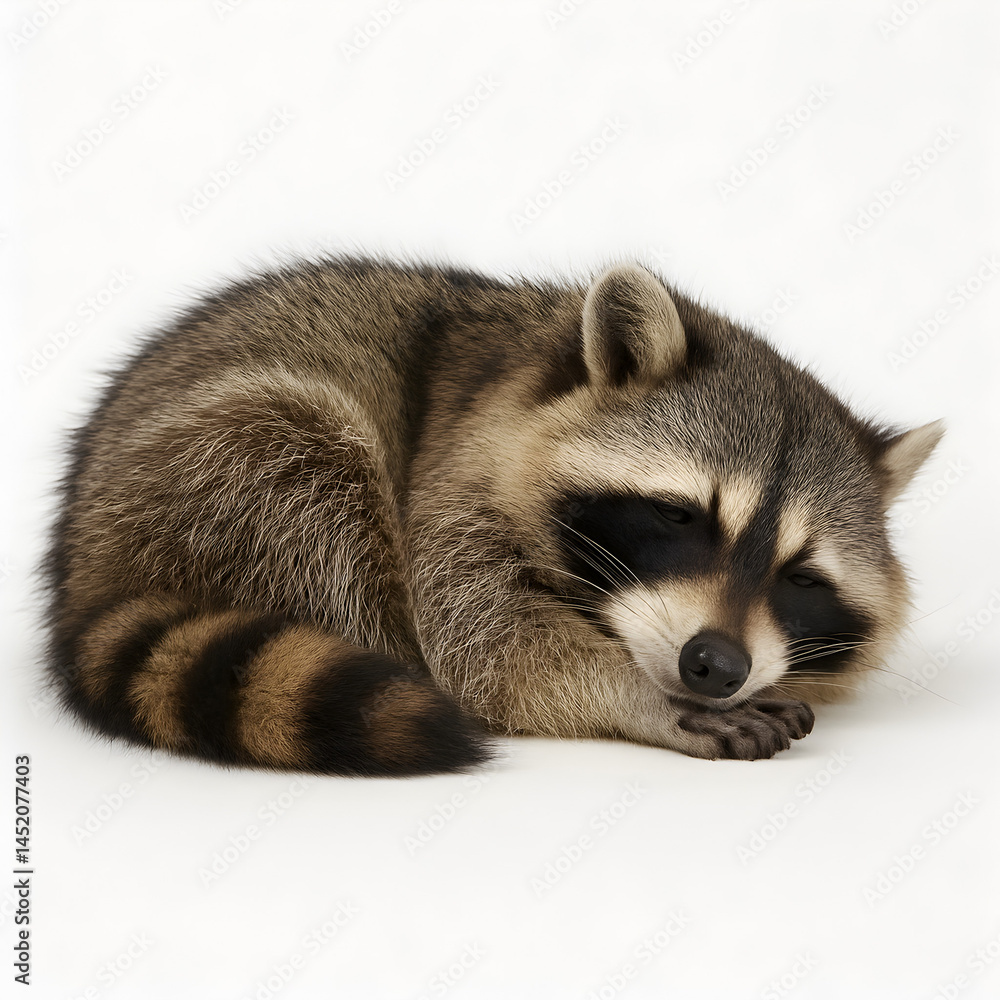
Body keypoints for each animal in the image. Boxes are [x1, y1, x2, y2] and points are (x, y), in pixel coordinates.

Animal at [43, 257, 942, 776]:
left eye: (801, 577)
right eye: (680, 516)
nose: (714, 665)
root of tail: (81, 561)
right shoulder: (453, 470)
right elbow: (479, 638)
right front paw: (633, 695)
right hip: (223, 458)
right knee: (313, 469)